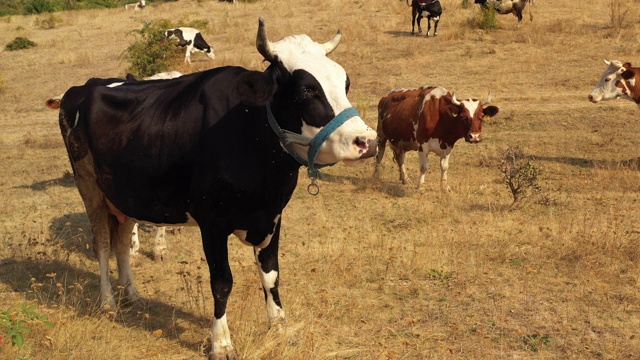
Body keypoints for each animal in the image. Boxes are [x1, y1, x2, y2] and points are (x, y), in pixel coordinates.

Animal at [55, 19, 378, 360]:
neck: (251, 132)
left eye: (345, 82)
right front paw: (221, 343)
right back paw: (108, 302)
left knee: (120, 243)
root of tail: (86, 86)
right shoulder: (212, 223)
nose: (367, 141)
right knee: (103, 245)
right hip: (89, 188)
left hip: (125, 195)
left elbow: (271, 274)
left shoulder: (272, 216)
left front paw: (279, 328)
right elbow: (222, 282)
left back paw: (131, 294)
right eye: (307, 89)